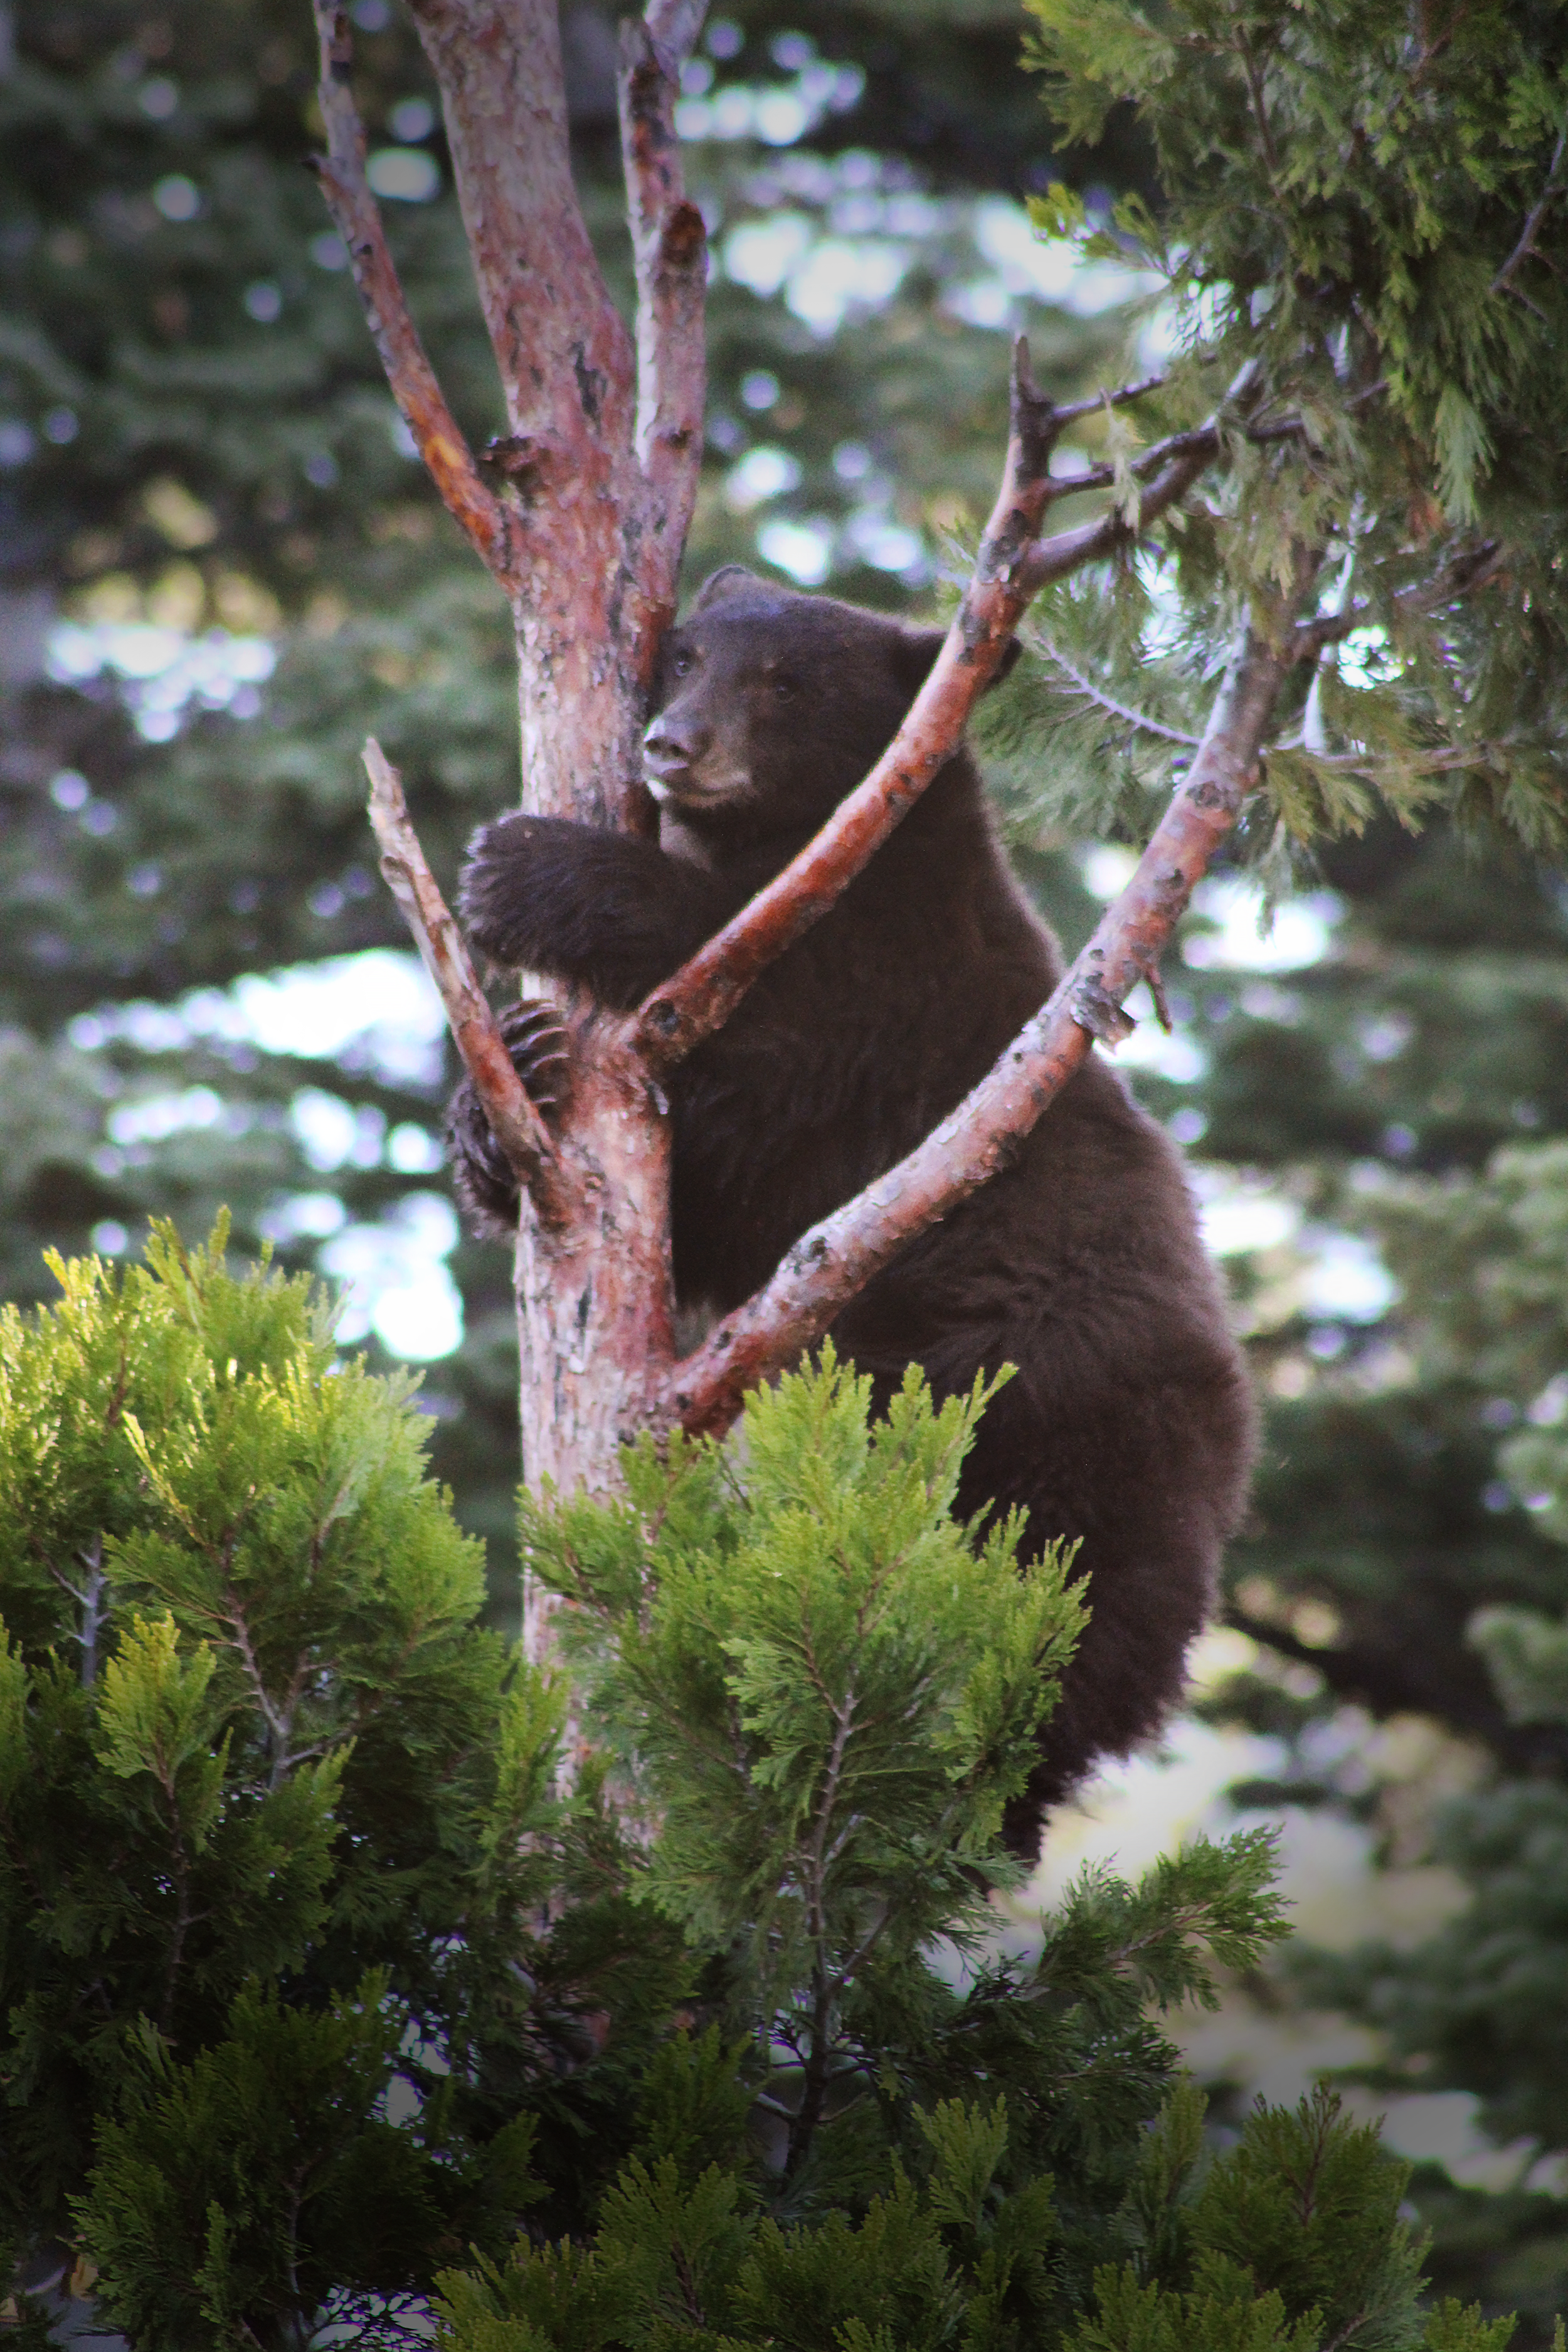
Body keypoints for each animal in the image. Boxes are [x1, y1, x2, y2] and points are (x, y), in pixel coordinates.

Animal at [447, 566, 1256, 1856]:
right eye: (688, 654)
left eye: (787, 683)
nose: (674, 745)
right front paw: (507, 1078)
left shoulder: (894, 995)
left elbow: (766, 1034)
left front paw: (526, 866)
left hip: (1058, 1420)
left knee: (1062, 1630)